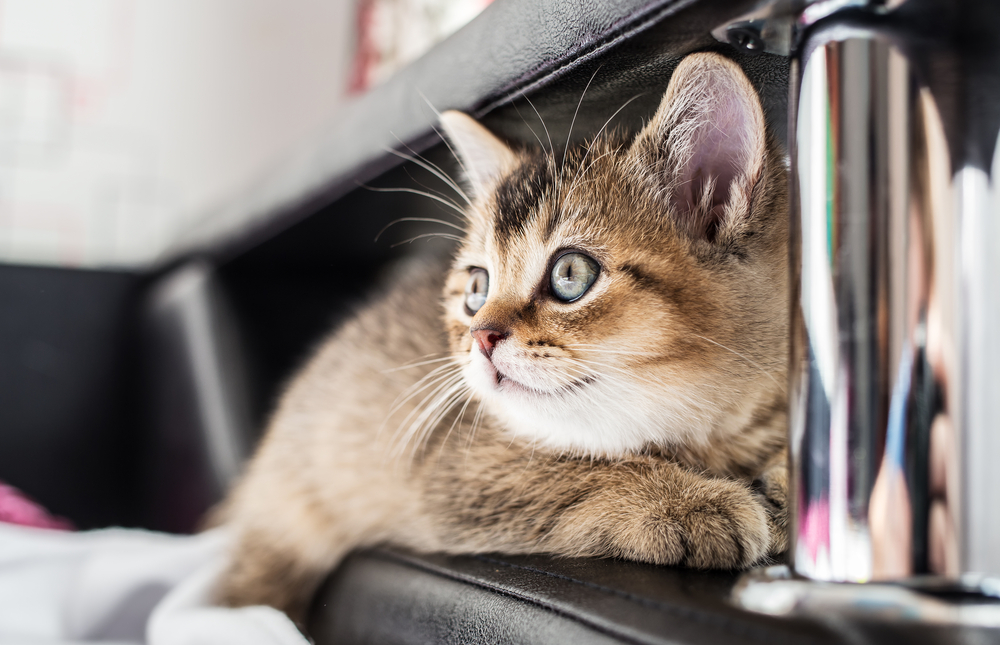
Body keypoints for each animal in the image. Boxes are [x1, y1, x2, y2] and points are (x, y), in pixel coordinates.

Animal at [217, 52, 788, 616]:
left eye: (571, 275)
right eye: (477, 287)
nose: (481, 336)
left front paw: (783, 488)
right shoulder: (450, 470)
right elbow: (560, 472)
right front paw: (689, 502)